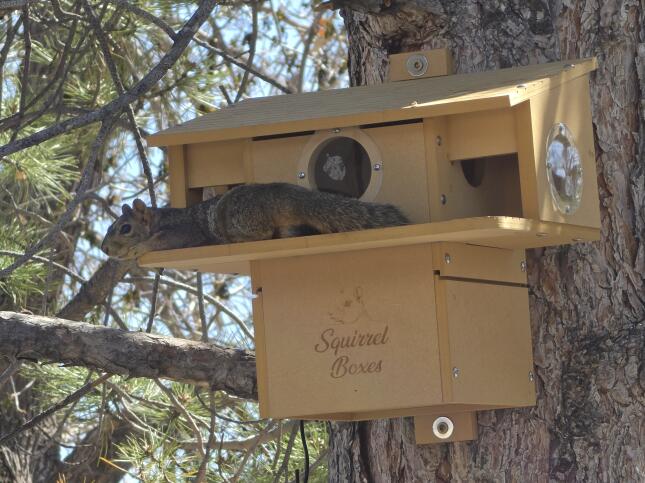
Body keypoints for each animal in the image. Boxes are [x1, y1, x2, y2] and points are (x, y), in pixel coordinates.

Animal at [101, 182, 409, 260]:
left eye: (125, 228)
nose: (104, 249)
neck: (160, 219)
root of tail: (286, 195)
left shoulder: (184, 232)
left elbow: (162, 240)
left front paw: (138, 249)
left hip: (237, 217)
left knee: (261, 233)